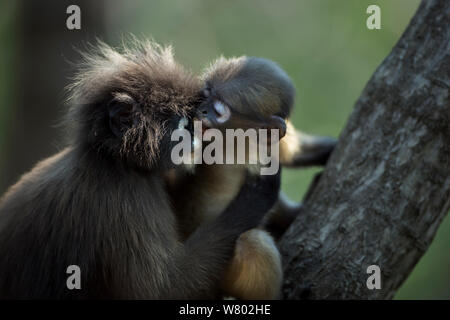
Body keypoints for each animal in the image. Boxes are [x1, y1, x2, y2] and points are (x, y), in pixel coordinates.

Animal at [0, 41, 282, 298]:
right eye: (183, 125)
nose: (196, 138)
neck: (114, 162)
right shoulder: (123, 198)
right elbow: (162, 290)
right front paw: (256, 196)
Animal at [168, 55, 338, 300]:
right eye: (206, 94)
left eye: (219, 111)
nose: (201, 110)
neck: (239, 144)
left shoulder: (269, 139)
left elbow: (290, 154)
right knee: (253, 242)